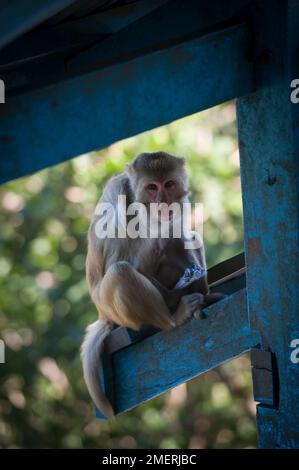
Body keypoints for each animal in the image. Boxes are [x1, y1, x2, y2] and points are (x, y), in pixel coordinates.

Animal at [81, 152, 224, 416]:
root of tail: (102, 314)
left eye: (168, 184)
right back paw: (174, 317)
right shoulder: (118, 201)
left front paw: (198, 282)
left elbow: (179, 235)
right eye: (152, 187)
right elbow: (120, 262)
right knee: (121, 271)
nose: (163, 202)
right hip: (114, 311)